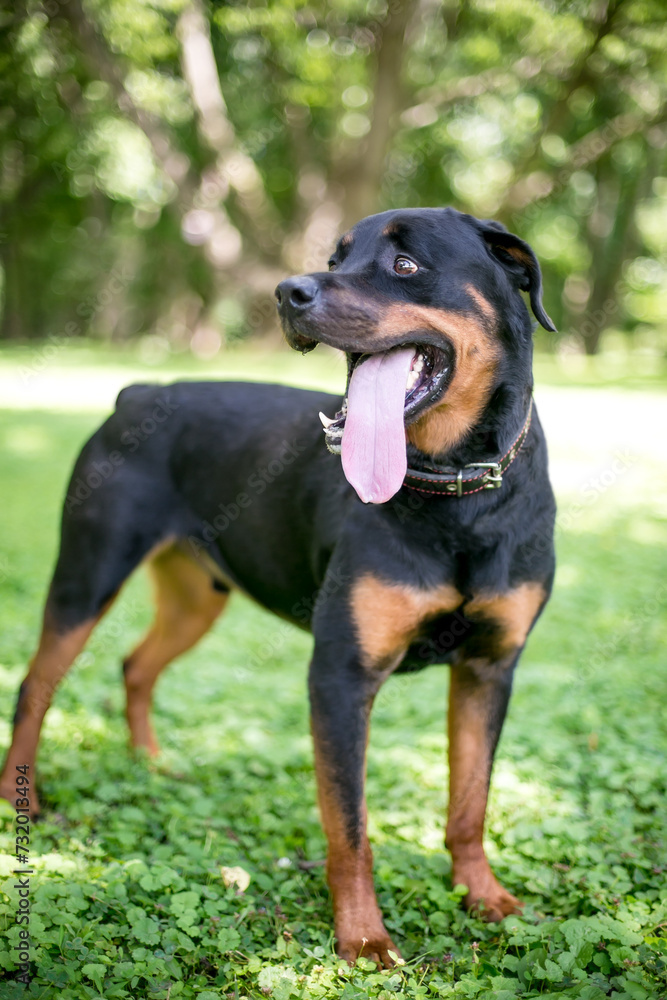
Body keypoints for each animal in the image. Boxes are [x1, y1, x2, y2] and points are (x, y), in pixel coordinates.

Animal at [1, 207, 560, 964]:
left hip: (195, 597)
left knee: (137, 665)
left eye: (406, 264)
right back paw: (21, 798)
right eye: (336, 257)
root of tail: (137, 394)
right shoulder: (341, 675)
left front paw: (483, 897)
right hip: (88, 574)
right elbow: (349, 827)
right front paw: (363, 938)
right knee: (36, 684)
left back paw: (152, 765)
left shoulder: (489, 669)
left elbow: (469, 804)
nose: (287, 293)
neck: (456, 491)